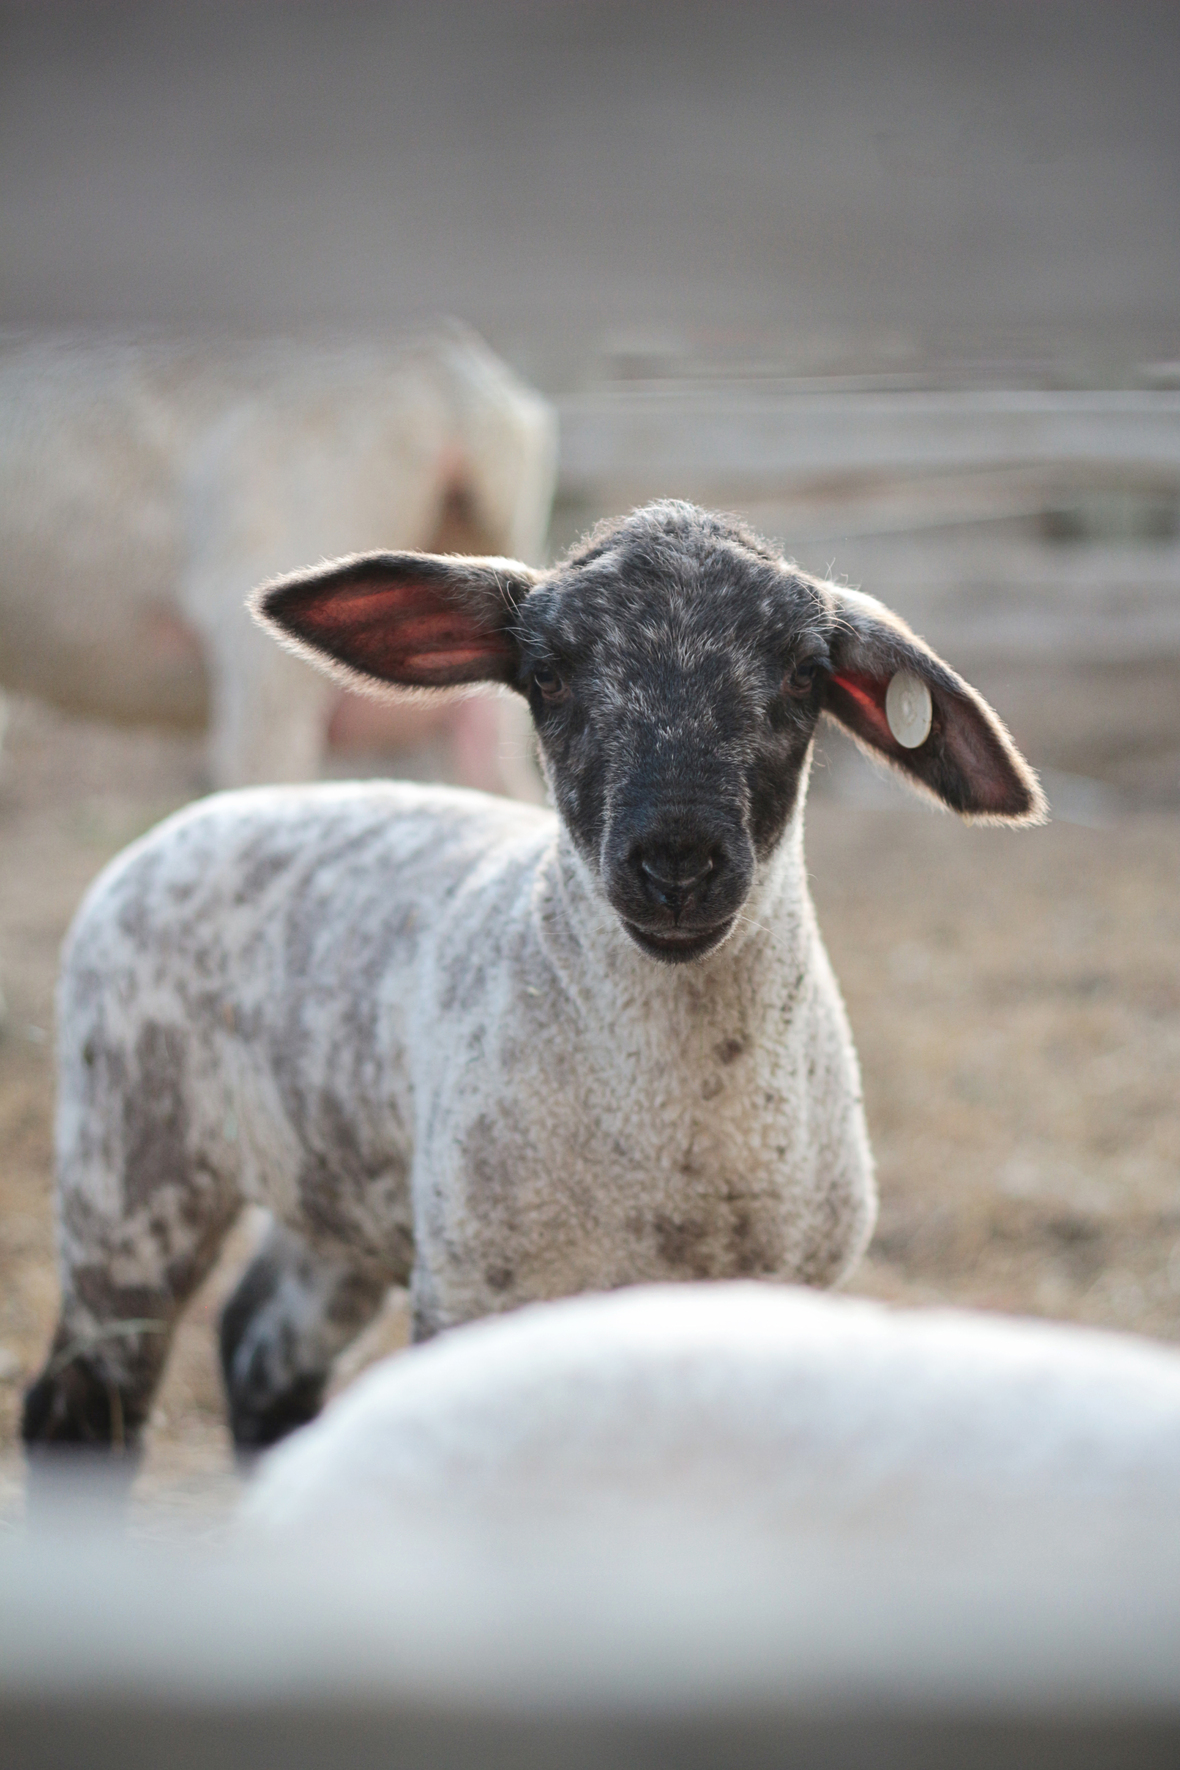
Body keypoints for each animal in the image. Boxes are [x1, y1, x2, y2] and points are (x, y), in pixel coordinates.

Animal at [22, 500, 1045, 1457]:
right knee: (78, 1406)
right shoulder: (481, 1296)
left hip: (350, 1195)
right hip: (130, 1173)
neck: (682, 1138)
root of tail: (195, 821)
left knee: (261, 1347)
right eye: (547, 674)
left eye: (803, 672)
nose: (677, 860)